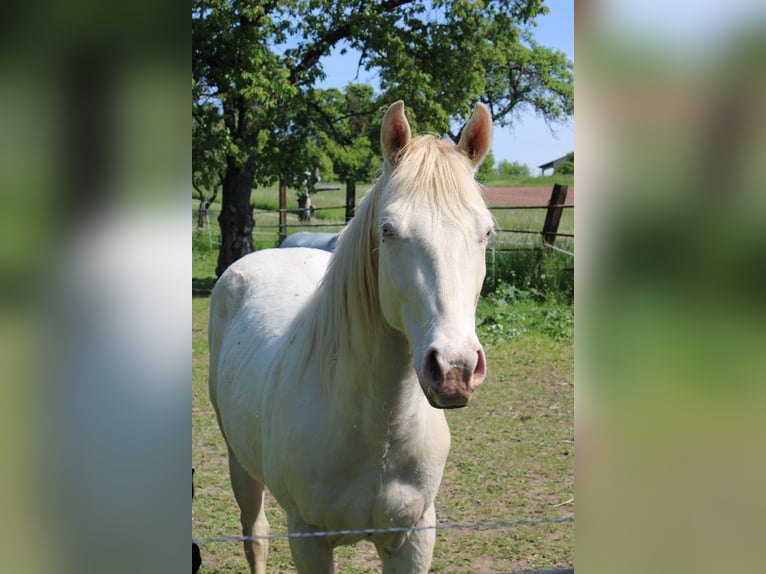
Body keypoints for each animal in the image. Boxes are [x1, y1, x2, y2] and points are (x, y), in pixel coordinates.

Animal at [208, 100, 494, 573]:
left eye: (486, 231)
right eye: (388, 230)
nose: (454, 369)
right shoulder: (308, 539)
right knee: (256, 535)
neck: (377, 429)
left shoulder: (416, 538)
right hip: (240, 465)